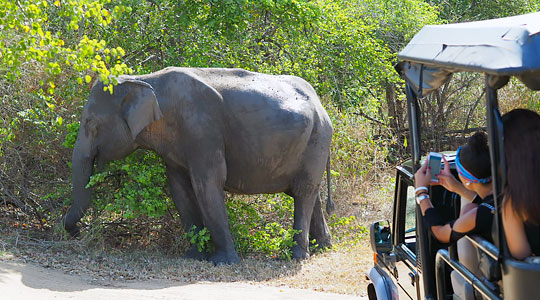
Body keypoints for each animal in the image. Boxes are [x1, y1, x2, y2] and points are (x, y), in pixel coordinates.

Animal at [63, 67, 334, 264]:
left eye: (91, 123)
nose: (77, 231)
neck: (143, 80)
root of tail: (321, 105)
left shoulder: (202, 129)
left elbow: (208, 184)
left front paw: (223, 262)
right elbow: (179, 189)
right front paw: (193, 257)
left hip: (318, 139)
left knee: (303, 192)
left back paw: (296, 257)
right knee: (309, 193)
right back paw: (324, 248)